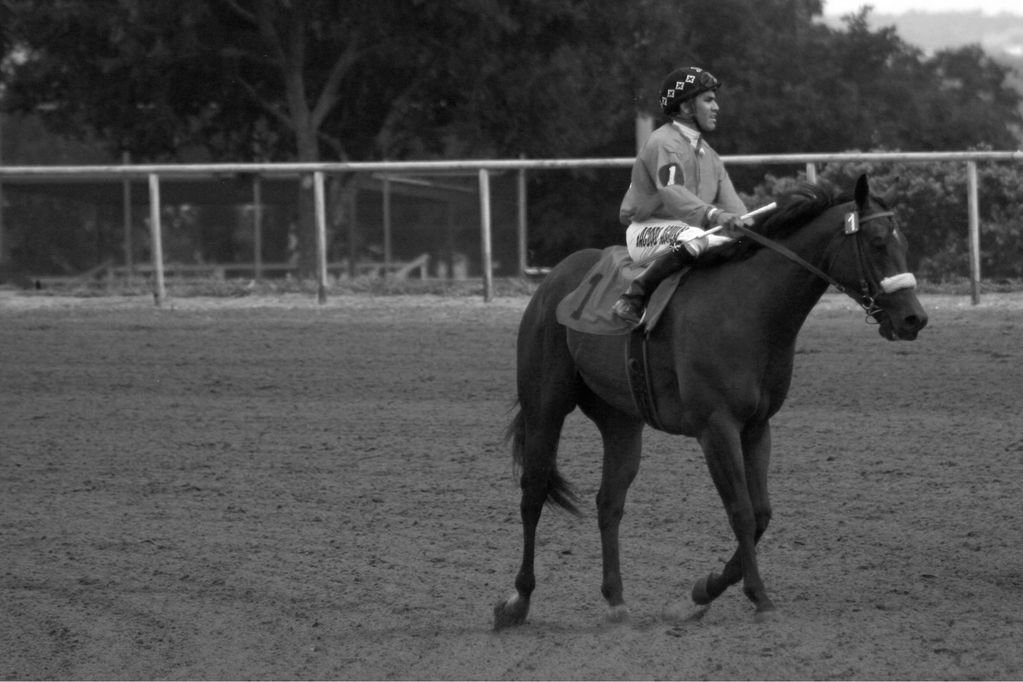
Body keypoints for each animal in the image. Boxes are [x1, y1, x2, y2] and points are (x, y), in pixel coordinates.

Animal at [492, 174, 928, 629]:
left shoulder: (757, 426)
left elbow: (761, 513)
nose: (914, 318)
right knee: (533, 492)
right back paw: (517, 600)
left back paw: (615, 600)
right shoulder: (716, 428)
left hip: (621, 422)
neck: (749, 307)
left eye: (903, 241)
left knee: (609, 502)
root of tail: (554, 278)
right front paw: (759, 597)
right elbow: (740, 510)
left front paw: (701, 592)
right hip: (545, 405)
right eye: (877, 242)